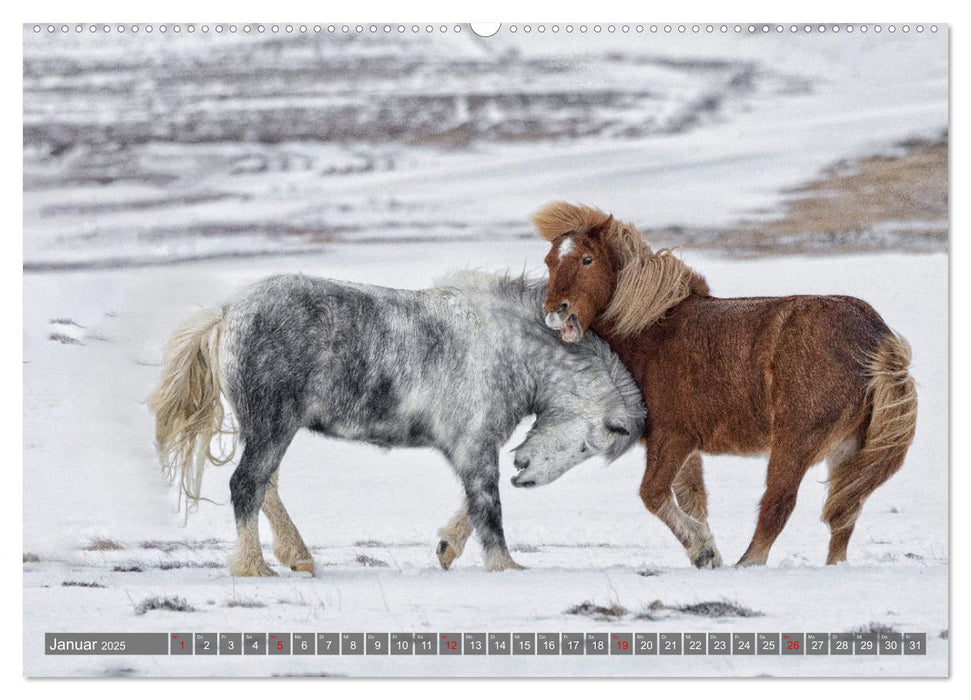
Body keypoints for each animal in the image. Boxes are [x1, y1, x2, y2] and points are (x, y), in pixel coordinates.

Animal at [536, 204, 916, 568]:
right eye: (549, 260)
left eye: (587, 259)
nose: (556, 312)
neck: (651, 331)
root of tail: (876, 336)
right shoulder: (687, 446)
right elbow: (692, 500)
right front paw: (704, 552)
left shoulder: (671, 437)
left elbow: (654, 494)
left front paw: (704, 551)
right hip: (848, 450)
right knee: (844, 514)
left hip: (795, 443)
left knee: (778, 506)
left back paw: (748, 563)